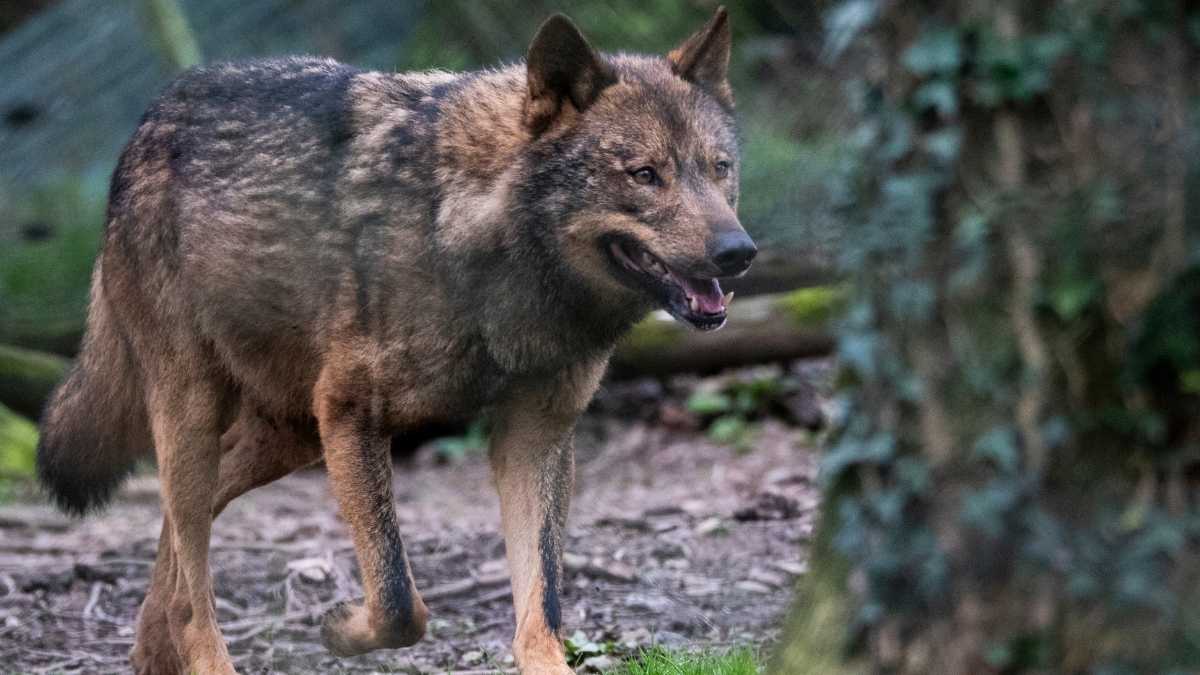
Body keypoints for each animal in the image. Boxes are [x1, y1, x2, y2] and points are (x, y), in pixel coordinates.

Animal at [35, 7, 754, 674]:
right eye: (645, 174)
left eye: (719, 169)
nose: (739, 252)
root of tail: (154, 112)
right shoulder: (353, 414)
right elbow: (400, 600)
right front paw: (339, 628)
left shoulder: (536, 434)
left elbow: (541, 605)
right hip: (200, 413)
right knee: (193, 579)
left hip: (288, 434)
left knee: (183, 536)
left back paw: (151, 648)